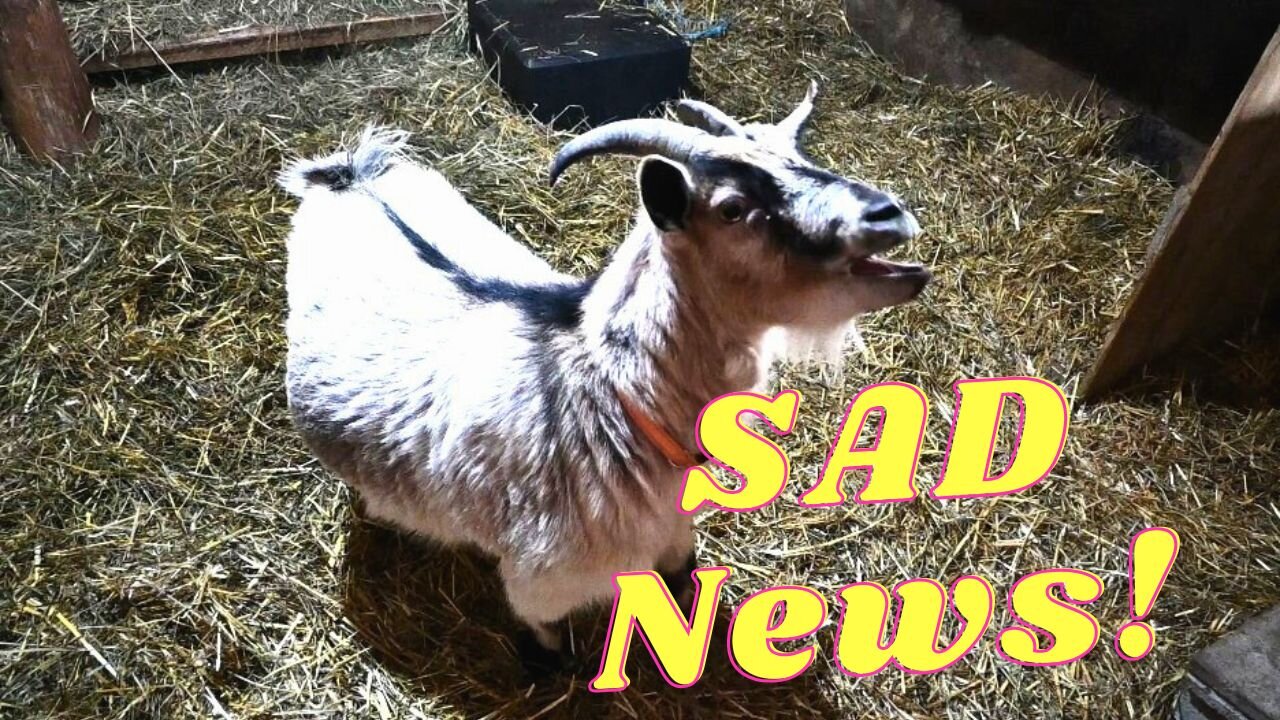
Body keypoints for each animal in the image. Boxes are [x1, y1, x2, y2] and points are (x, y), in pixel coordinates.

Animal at [278, 83, 929, 669]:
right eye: (731, 209)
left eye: (806, 159)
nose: (887, 213)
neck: (614, 396)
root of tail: (348, 176)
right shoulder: (538, 582)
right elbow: (548, 641)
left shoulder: (674, 532)